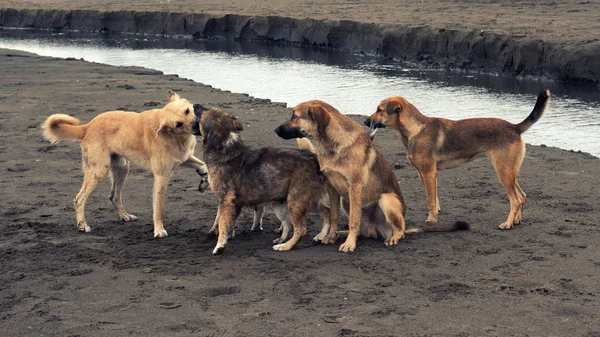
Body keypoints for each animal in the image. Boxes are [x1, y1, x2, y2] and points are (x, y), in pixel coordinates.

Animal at [41, 90, 207, 236]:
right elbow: (158, 208)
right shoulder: (161, 177)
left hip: (122, 168)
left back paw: (124, 216)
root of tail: (87, 126)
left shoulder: (184, 158)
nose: (196, 126)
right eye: (178, 124)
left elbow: (203, 165)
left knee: (114, 196)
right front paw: (159, 230)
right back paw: (82, 225)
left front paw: (204, 179)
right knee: (79, 199)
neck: (174, 136)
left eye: (187, 111)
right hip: (99, 171)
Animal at [192, 104, 330, 252]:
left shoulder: (226, 200)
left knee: (301, 229)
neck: (226, 148)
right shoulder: (231, 203)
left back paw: (285, 246)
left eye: (205, 111)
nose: (195, 105)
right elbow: (224, 222)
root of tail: (314, 158)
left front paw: (220, 245)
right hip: (305, 200)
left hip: (296, 201)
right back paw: (318, 236)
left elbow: (222, 223)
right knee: (325, 214)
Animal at [274, 98, 466, 251]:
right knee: (361, 228)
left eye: (294, 115)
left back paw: (392, 237)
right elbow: (334, 216)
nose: (275, 130)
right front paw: (331, 236)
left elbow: (353, 220)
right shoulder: (333, 189)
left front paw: (349, 244)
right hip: (346, 201)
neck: (332, 145)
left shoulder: (354, 187)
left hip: (386, 199)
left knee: (399, 229)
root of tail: (376, 229)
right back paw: (342, 233)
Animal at [364, 90, 552, 230]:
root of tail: (515, 127)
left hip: (503, 173)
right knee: (522, 196)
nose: (366, 121)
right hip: (509, 172)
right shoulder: (425, 174)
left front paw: (431, 220)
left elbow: (431, 200)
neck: (415, 129)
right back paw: (517, 220)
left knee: (515, 199)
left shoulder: (429, 173)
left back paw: (508, 224)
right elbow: (435, 199)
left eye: (379, 109)